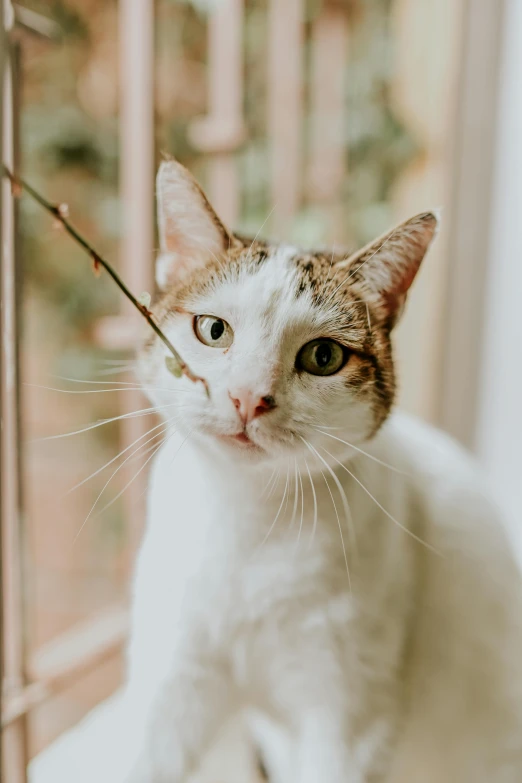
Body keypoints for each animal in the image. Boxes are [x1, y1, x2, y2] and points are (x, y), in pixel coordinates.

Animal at [124, 159, 520, 783]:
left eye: (323, 357)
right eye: (213, 330)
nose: (247, 397)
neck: (249, 521)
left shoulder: (348, 718)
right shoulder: (172, 677)